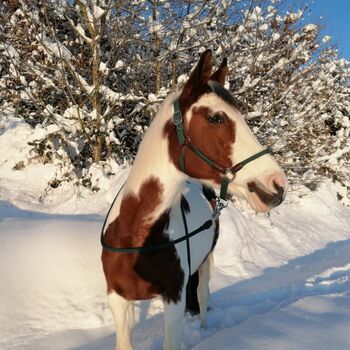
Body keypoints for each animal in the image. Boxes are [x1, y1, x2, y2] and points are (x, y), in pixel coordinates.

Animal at [100, 50, 288, 350]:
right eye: (216, 118)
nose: (276, 184)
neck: (136, 233)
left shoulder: (173, 300)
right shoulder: (118, 301)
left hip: (205, 262)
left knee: (202, 294)